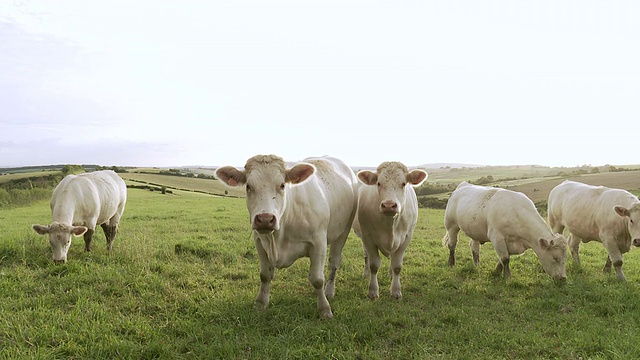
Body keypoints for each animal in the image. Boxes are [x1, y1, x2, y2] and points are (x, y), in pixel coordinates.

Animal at [214, 155, 356, 318]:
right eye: (248, 186)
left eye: (282, 185)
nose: (265, 219)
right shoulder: (259, 241)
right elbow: (265, 275)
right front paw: (261, 303)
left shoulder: (319, 242)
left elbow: (317, 279)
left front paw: (325, 309)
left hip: (343, 231)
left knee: (334, 262)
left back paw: (330, 290)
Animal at [352, 162, 428, 300]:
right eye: (378, 183)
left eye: (403, 183)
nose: (389, 205)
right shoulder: (368, 237)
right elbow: (374, 265)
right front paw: (373, 291)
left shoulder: (406, 238)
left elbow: (397, 266)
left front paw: (396, 291)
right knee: (366, 256)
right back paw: (366, 273)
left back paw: (391, 274)